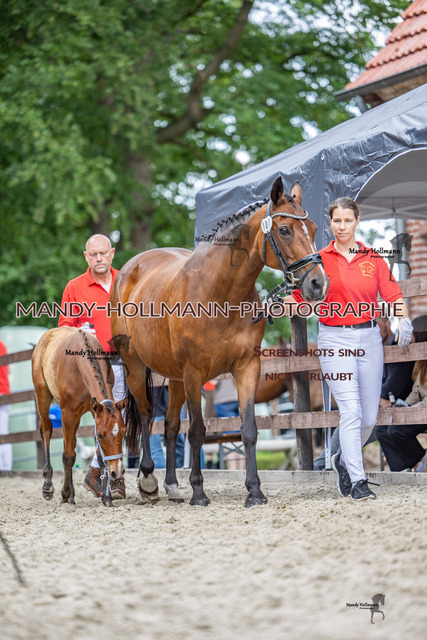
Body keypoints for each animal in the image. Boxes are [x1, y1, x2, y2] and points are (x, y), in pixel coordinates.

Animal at [31, 327, 127, 507]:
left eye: (124, 433)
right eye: (101, 435)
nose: (117, 471)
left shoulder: (94, 410)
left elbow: (97, 455)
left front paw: (107, 497)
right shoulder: (68, 413)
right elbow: (68, 456)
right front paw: (64, 493)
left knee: (71, 443)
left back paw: (72, 494)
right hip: (42, 396)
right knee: (46, 429)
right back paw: (48, 485)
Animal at [111, 176, 328, 507]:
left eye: (314, 228)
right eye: (284, 230)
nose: (318, 284)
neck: (220, 293)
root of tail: (129, 268)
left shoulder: (246, 368)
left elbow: (248, 429)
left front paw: (255, 491)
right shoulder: (194, 373)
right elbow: (198, 432)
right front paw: (199, 492)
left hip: (175, 378)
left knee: (170, 426)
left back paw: (172, 485)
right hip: (136, 365)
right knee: (148, 416)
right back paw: (148, 479)